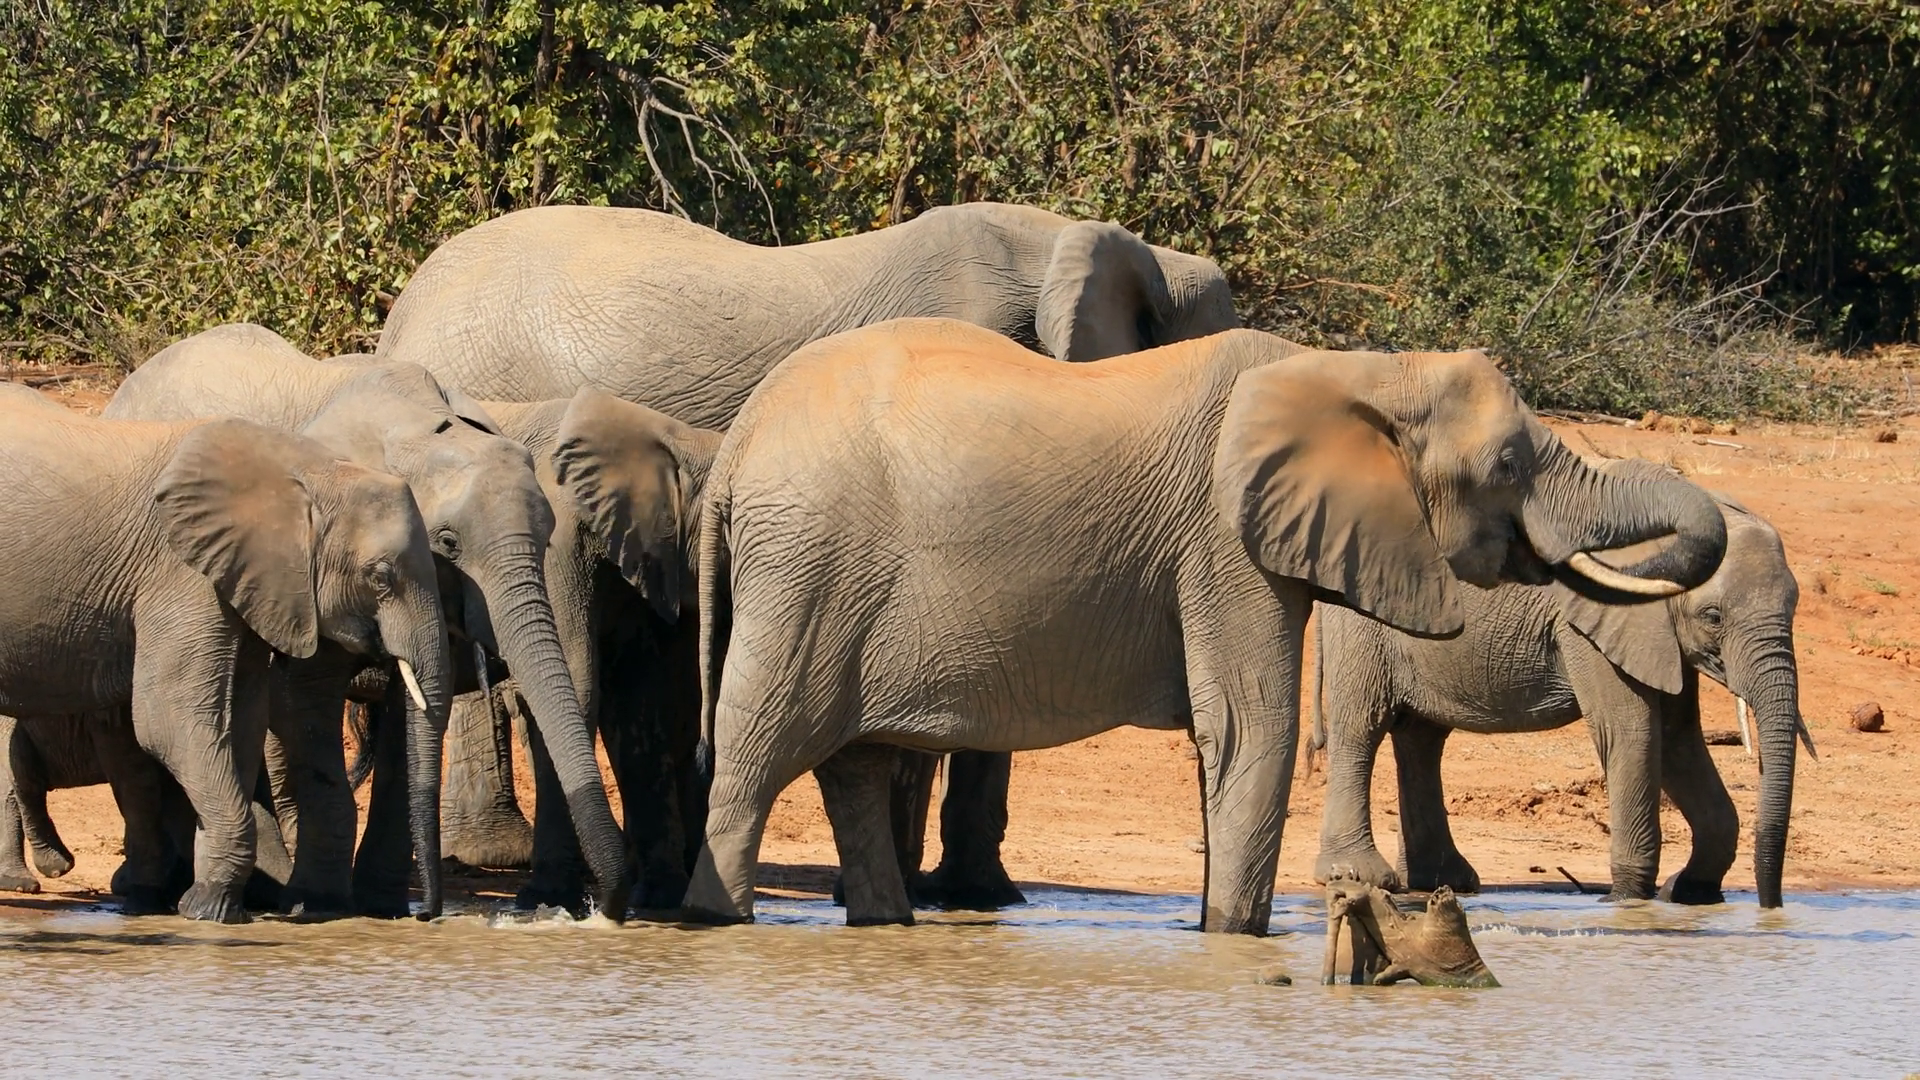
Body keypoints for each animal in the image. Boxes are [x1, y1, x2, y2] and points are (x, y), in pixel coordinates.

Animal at [0, 386, 451, 922]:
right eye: (380, 578)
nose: (423, 915)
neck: (306, 471)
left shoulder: (250, 580)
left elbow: (239, 721)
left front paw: (215, 902)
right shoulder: (181, 571)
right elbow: (170, 719)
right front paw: (208, 909)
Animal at [103, 324, 630, 919]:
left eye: (543, 539)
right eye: (448, 542)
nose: (603, 910)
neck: (413, 427)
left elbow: (413, 710)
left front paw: (381, 906)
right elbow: (303, 699)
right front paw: (320, 902)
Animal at [682, 319, 1729, 935]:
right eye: (1510, 463)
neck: (1359, 367)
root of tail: (736, 448)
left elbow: (1227, 740)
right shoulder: (1225, 542)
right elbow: (1250, 732)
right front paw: (1232, 941)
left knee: (850, 767)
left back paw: (884, 929)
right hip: (807, 571)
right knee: (755, 754)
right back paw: (711, 922)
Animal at [1310, 463, 1811, 907]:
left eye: (1794, 605)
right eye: (1713, 617)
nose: (1772, 908)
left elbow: (1677, 739)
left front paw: (1690, 893)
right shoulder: (1595, 621)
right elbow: (1632, 733)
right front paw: (1627, 900)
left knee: (1422, 739)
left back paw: (1443, 881)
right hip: (1361, 615)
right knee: (1363, 726)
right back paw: (1357, 875)